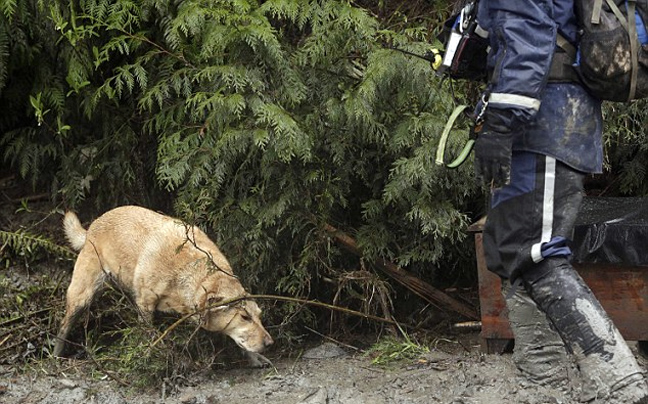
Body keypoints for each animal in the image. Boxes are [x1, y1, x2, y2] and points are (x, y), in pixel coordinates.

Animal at [52, 205, 272, 362]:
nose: (270, 343)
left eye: (259, 316)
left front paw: (254, 357)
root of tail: (92, 226)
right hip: (82, 295)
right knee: (64, 325)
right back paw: (56, 353)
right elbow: (148, 335)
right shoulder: (146, 304)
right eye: (244, 317)